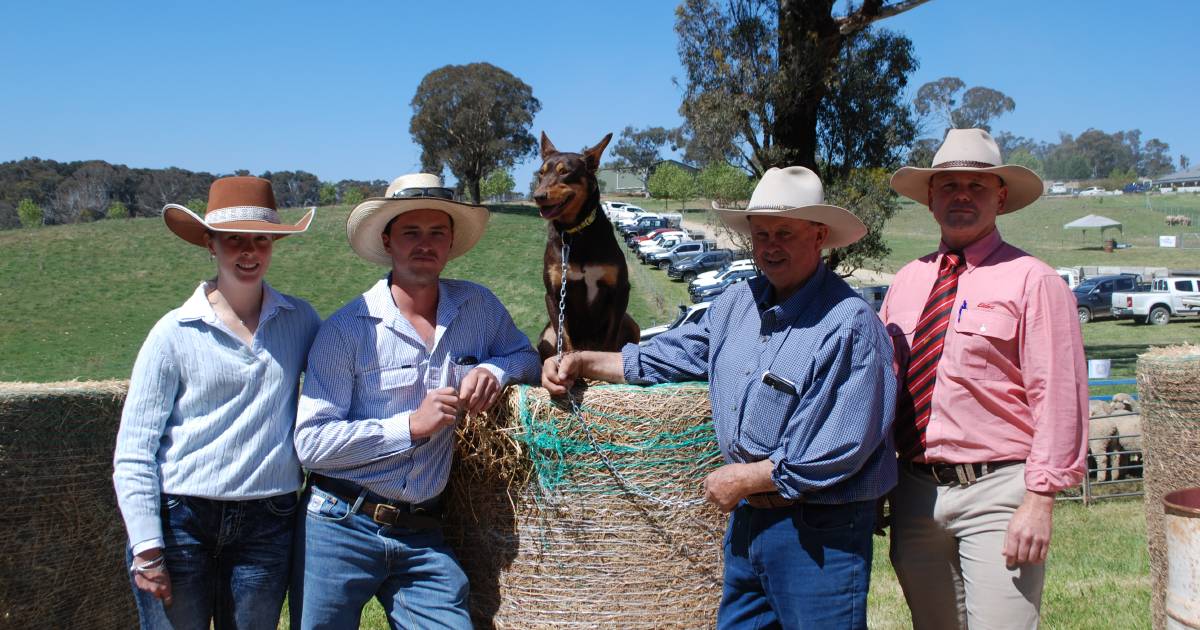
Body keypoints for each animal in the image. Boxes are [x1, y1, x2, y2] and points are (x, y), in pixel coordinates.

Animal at [532, 130, 638, 360]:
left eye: (565, 172)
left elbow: (611, 339)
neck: (575, 234)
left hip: (631, 323)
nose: (538, 196)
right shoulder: (553, 294)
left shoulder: (620, 290)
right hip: (545, 336)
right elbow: (564, 337)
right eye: (540, 174)